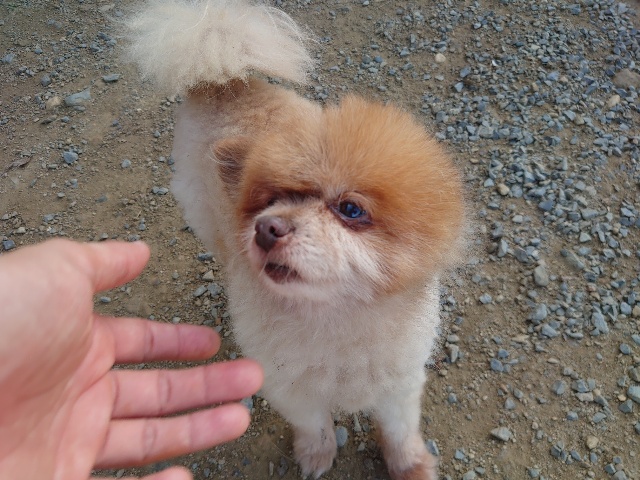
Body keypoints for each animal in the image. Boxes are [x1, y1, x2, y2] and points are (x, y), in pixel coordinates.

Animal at [125, 1, 466, 478]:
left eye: (351, 209)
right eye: (270, 200)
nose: (267, 227)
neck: (337, 323)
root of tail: (223, 80)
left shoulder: (398, 386)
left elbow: (399, 432)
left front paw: (411, 466)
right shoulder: (290, 387)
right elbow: (315, 424)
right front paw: (317, 454)